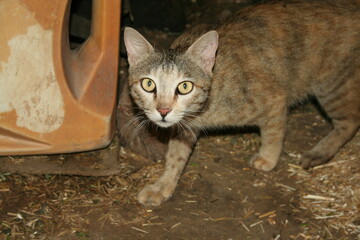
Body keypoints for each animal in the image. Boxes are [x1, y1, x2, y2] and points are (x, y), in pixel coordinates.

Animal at [124, 0, 360, 206]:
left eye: (184, 87)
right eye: (148, 84)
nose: (163, 110)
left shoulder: (275, 99)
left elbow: (273, 133)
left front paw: (268, 157)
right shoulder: (185, 127)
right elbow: (175, 156)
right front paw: (163, 185)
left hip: (330, 85)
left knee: (350, 121)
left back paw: (319, 152)